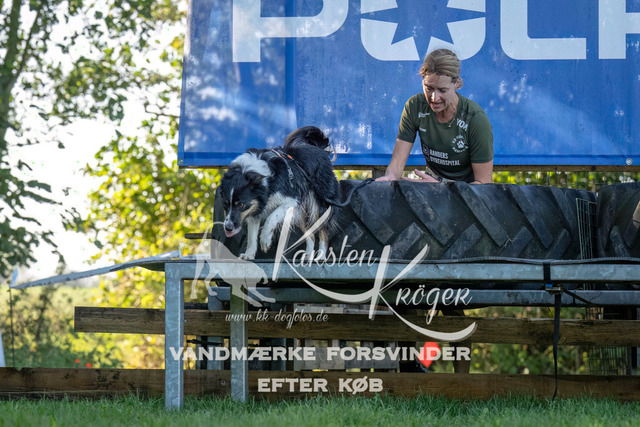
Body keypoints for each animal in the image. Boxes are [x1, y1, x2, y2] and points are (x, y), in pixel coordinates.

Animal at [219, 126, 340, 260]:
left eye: (240, 204)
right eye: (225, 204)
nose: (228, 228)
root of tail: (318, 148)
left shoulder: (292, 200)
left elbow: (272, 217)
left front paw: (265, 240)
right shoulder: (255, 207)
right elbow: (251, 235)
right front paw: (249, 255)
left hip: (319, 205)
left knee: (323, 231)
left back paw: (321, 256)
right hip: (300, 212)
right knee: (311, 234)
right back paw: (308, 256)